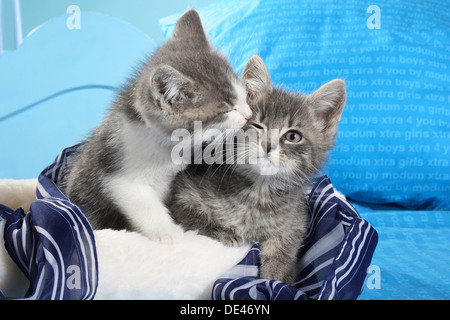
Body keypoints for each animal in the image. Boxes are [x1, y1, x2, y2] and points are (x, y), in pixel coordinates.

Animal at [59, 10, 253, 244]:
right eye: (226, 110)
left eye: (243, 97)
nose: (249, 114)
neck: (168, 144)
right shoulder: (119, 176)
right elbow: (145, 205)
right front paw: (168, 232)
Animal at [167, 55, 346, 282]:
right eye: (256, 126)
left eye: (293, 136)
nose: (268, 145)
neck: (258, 193)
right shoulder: (184, 194)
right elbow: (195, 218)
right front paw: (224, 233)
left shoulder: (295, 221)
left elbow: (284, 248)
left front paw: (275, 277)